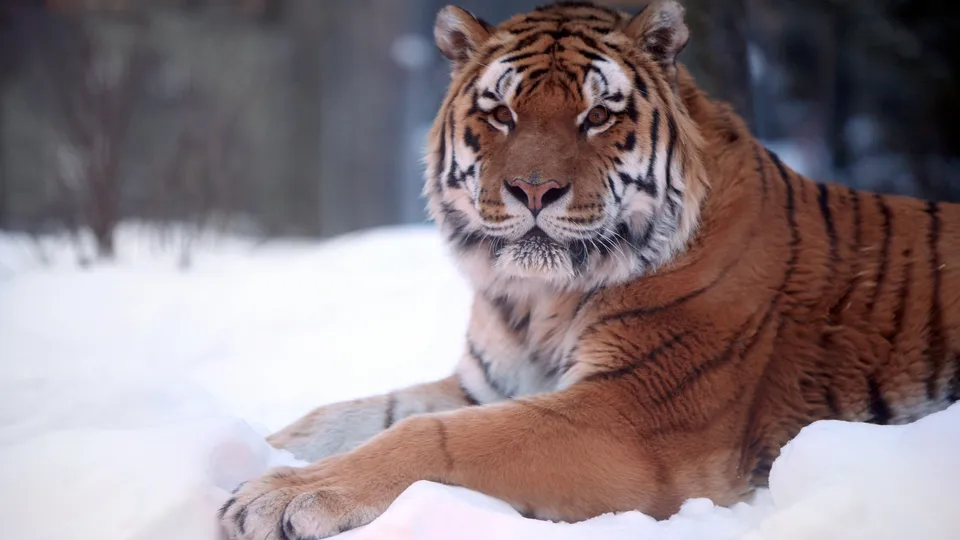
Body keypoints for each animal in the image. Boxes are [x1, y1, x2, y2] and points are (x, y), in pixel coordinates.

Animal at [219, 1, 960, 538]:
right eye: (500, 111)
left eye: (598, 114)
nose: (534, 190)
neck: (534, 299)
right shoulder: (488, 385)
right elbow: (340, 417)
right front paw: (254, 454)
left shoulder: (629, 414)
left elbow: (433, 438)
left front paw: (280, 496)